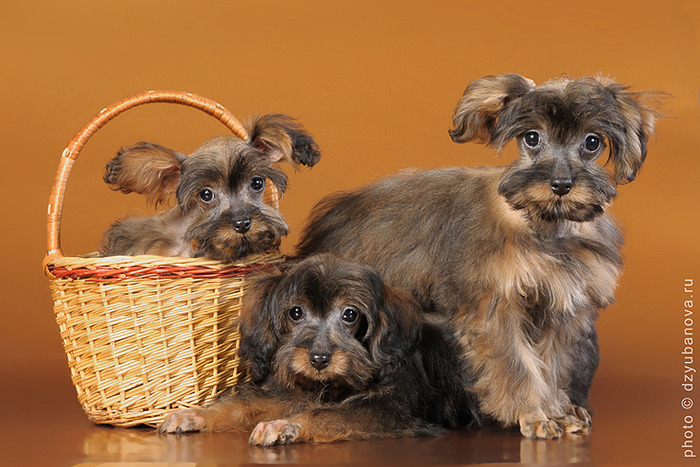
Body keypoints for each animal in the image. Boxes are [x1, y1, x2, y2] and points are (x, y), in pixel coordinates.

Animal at [158, 256, 476, 446]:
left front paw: (288, 425)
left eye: (350, 314)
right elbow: (244, 405)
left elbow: (332, 415)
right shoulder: (294, 392)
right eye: (296, 312)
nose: (319, 360)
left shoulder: (390, 410)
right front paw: (198, 414)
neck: (334, 384)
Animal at [294, 73, 660, 438]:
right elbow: (516, 364)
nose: (561, 183)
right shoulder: (494, 308)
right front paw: (533, 412)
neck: (543, 224)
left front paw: (555, 409)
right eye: (532, 137)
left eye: (592, 142)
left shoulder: (562, 310)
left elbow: (553, 365)